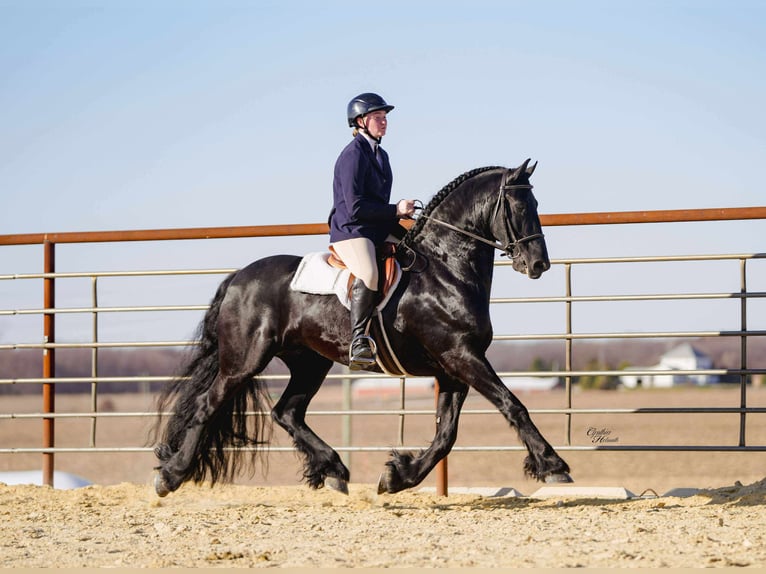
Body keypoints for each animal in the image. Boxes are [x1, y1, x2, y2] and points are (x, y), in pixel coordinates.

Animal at [151, 158, 572, 497]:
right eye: (519, 205)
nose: (539, 263)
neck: (445, 268)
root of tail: (238, 277)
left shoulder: (452, 367)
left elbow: (446, 435)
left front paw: (398, 476)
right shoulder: (460, 356)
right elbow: (512, 405)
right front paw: (553, 465)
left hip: (309, 361)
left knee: (287, 413)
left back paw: (333, 470)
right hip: (245, 360)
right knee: (208, 405)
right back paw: (171, 475)